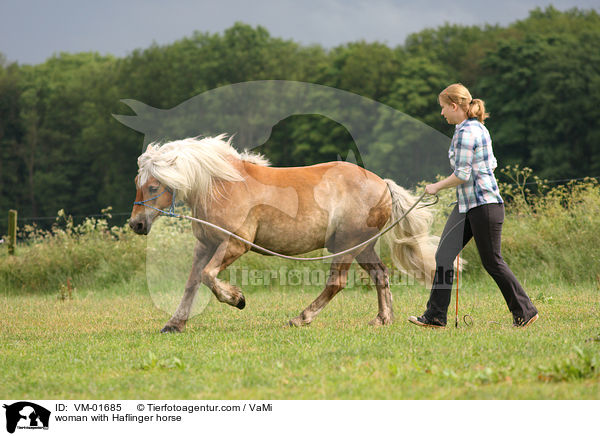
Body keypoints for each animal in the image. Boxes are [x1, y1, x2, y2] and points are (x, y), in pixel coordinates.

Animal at [130, 135, 436, 332]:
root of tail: (382, 184)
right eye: (137, 182)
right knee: (380, 275)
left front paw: (237, 299)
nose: (136, 225)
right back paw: (382, 319)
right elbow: (193, 282)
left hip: (347, 246)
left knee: (336, 282)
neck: (222, 187)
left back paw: (301, 318)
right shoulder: (205, 245)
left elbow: (208, 276)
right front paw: (174, 323)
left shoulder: (235, 244)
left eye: (154, 186)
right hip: (362, 246)